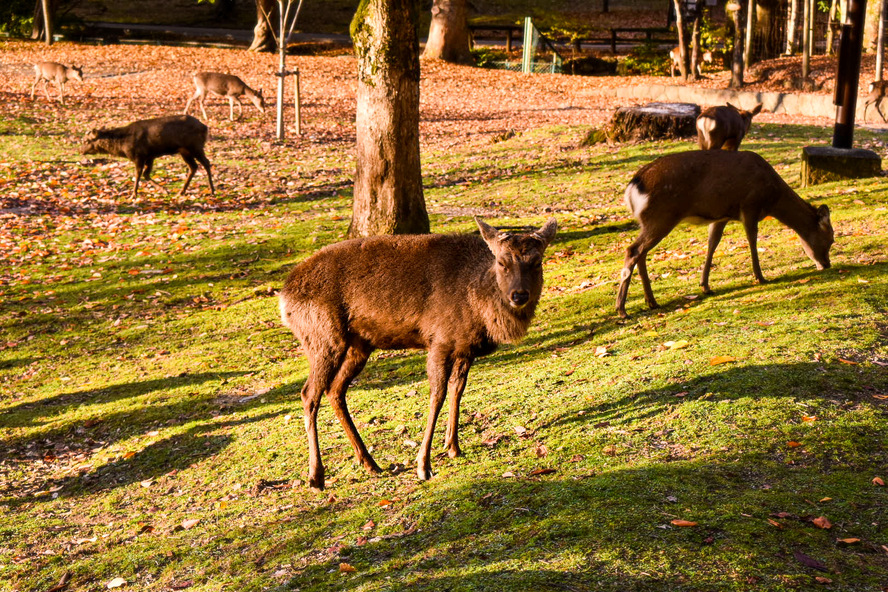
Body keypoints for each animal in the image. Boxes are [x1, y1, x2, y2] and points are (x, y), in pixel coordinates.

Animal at [81, 114, 217, 199]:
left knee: (206, 163)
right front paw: (164, 190)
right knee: (193, 167)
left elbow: (138, 175)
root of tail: (205, 127)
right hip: (184, 151)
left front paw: (133, 195)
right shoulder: (150, 157)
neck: (123, 146)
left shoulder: (139, 156)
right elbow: (146, 175)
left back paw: (212, 190)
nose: (80, 151)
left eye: (86, 141)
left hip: (195, 146)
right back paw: (181, 191)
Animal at [280, 217, 556, 490]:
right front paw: (424, 465)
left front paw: (453, 447)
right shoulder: (439, 340)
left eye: (537, 261)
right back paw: (316, 476)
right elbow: (437, 396)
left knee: (335, 390)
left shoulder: (465, 348)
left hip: (359, 345)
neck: (479, 306)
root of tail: (283, 297)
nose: (519, 295)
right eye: (502, 262)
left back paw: (369, 462)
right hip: (322, 336)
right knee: (309, 393)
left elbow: (458, 390)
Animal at [616, 153, 832, 320]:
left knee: (641, 253)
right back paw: (622, 310)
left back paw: (652, 301)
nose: (826, 264)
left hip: (649, 221)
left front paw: (705, 286)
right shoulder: (750, 205)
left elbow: (713, 244)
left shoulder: (721, 216)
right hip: (661, 216)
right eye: (830, 239)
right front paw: (761, 277)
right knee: (633, 250)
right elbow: (752, 240)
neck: (773, 198)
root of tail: (632, 187)